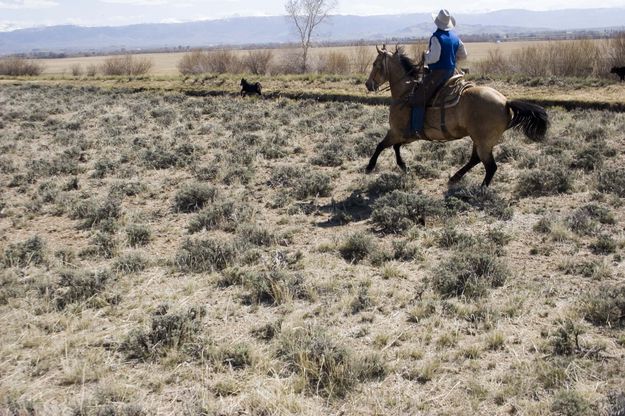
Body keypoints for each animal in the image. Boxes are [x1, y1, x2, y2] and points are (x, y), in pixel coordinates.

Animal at [364, 46, 548, 187]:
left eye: (375, 64)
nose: (368, 84)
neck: (406, 92)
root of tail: (505, 102)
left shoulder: (396, 132)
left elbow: (381, 145)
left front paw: (370, 166)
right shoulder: (407, 135)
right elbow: (395, 147)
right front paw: (403, 166)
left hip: (483, 141)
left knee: (490, 166)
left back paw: (481, 189)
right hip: (480, 140)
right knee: (475, 159)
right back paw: (455, 177)